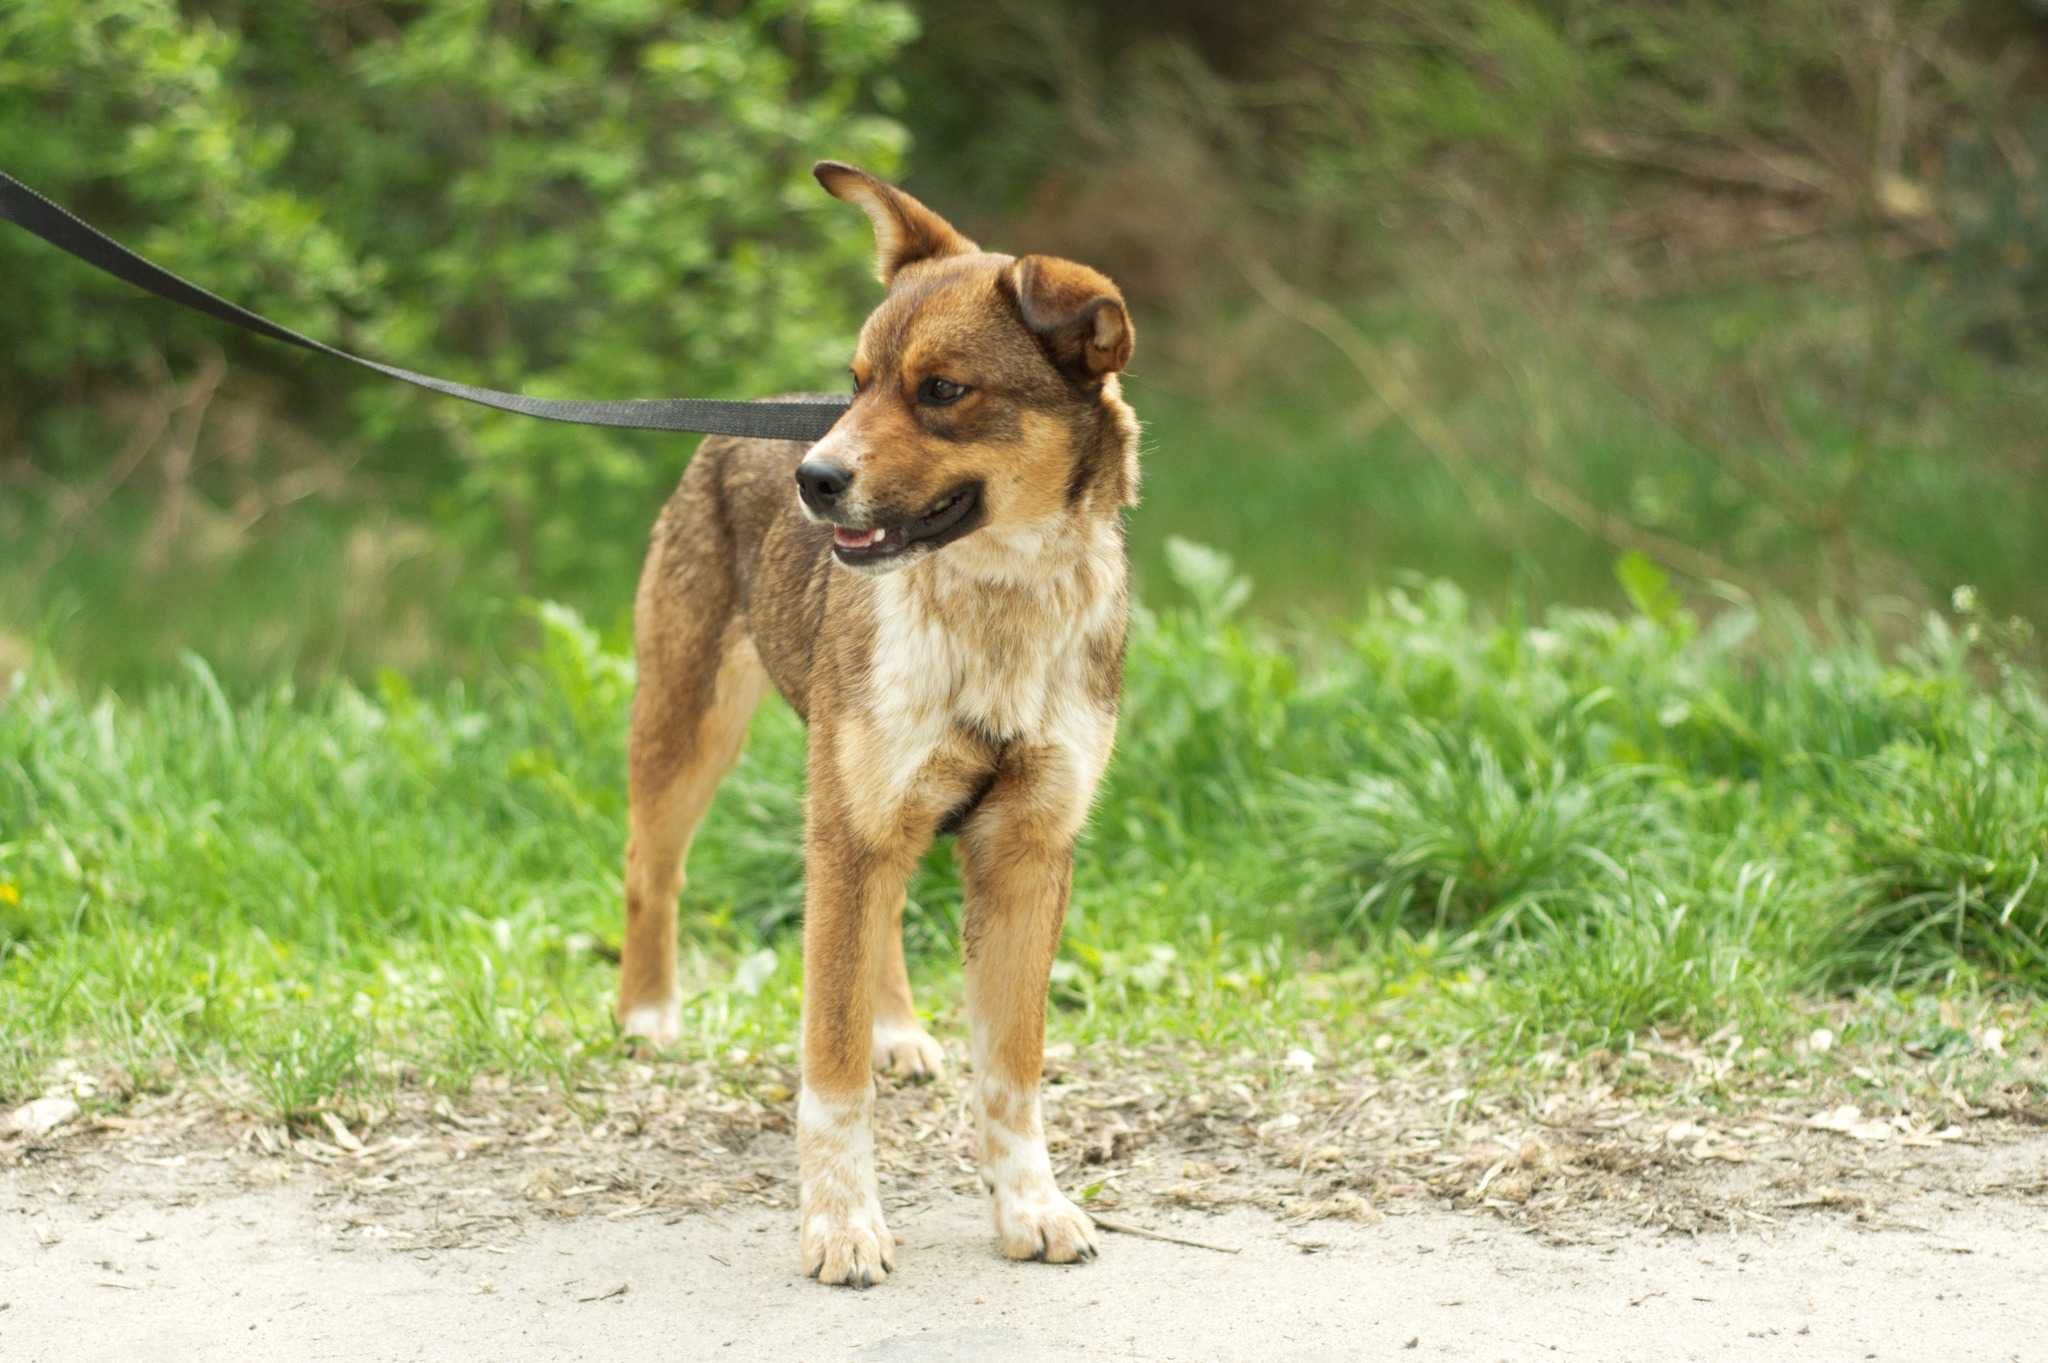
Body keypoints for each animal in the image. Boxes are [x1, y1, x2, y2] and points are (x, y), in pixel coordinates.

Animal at [614, 164, 1146, 1277]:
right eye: (857, 381)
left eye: (942, 390)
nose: (814, 479)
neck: (997, 609)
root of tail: (756, 417)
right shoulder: (848, 829)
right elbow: (831, 1070)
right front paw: (840, 1222)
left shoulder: (1026, 848)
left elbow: (1013, 1074)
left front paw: (1031, 1206)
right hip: (691, 731)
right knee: (651, 868)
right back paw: (646, 1013)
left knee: (887, 919)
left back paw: (897, 1031)